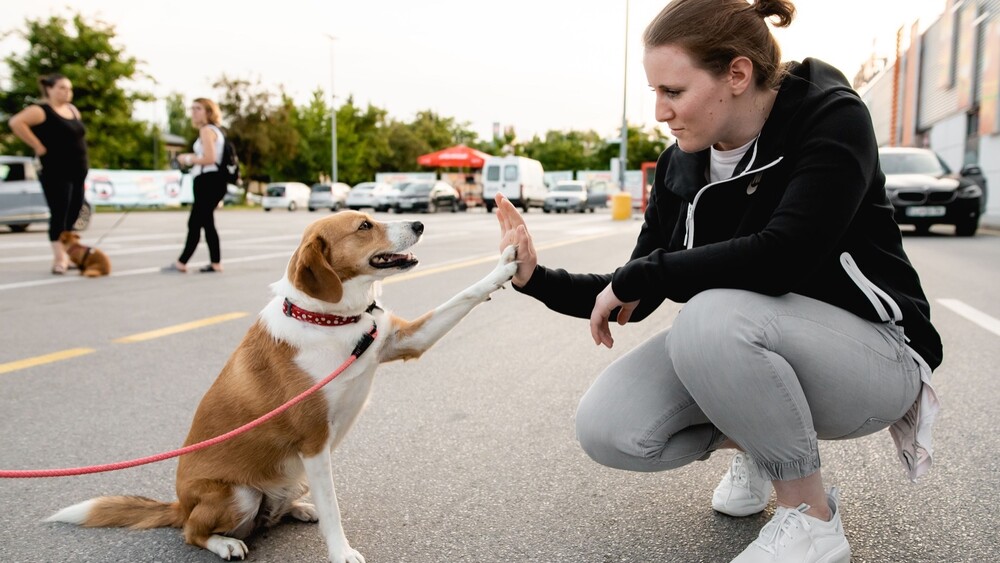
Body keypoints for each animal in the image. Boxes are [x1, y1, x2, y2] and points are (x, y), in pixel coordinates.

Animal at [45, 213, 516, 563]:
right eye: (364, 225)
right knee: (191, 533)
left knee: (274, 511)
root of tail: (179, 504)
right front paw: (341, 552)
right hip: (238, 494)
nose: (419, 222)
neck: (330, 320)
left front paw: (506, 263)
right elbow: (334, 509)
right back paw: (225, 542)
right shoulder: (314, 442)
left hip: (290, 478)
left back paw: (297, 509)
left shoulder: (404, 341)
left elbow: (465, 294)